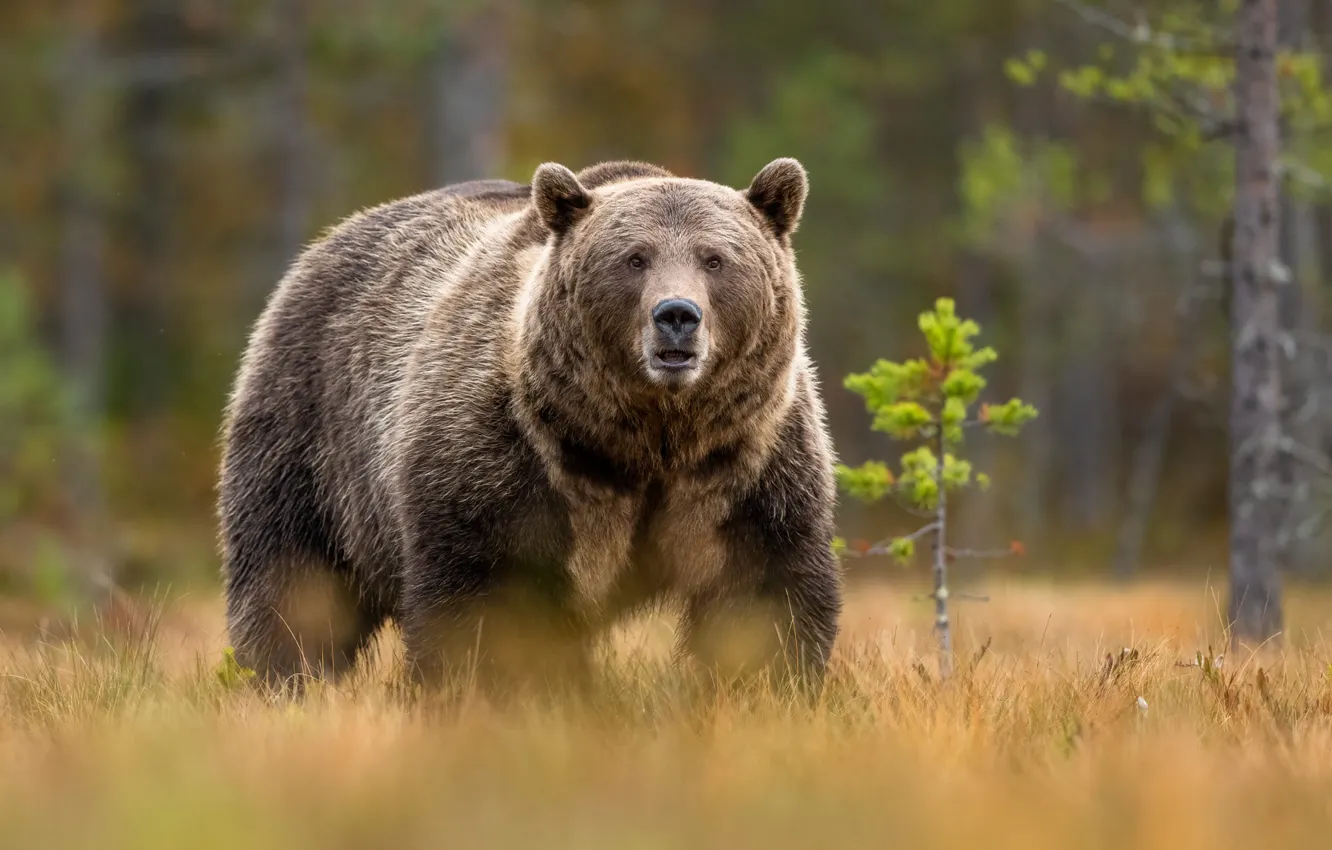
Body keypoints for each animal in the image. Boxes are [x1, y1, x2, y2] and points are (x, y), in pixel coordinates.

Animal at [217, 157, 842, 698]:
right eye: (634, 258)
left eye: (715, 259)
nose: (676, 316)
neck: (646, 440)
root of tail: (324, 244)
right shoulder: (507, 458)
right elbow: (487, 602)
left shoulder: (745, 466)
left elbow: (762, 595)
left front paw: (765, 688)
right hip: (311, 433)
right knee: (293, 581)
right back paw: (281, 679)